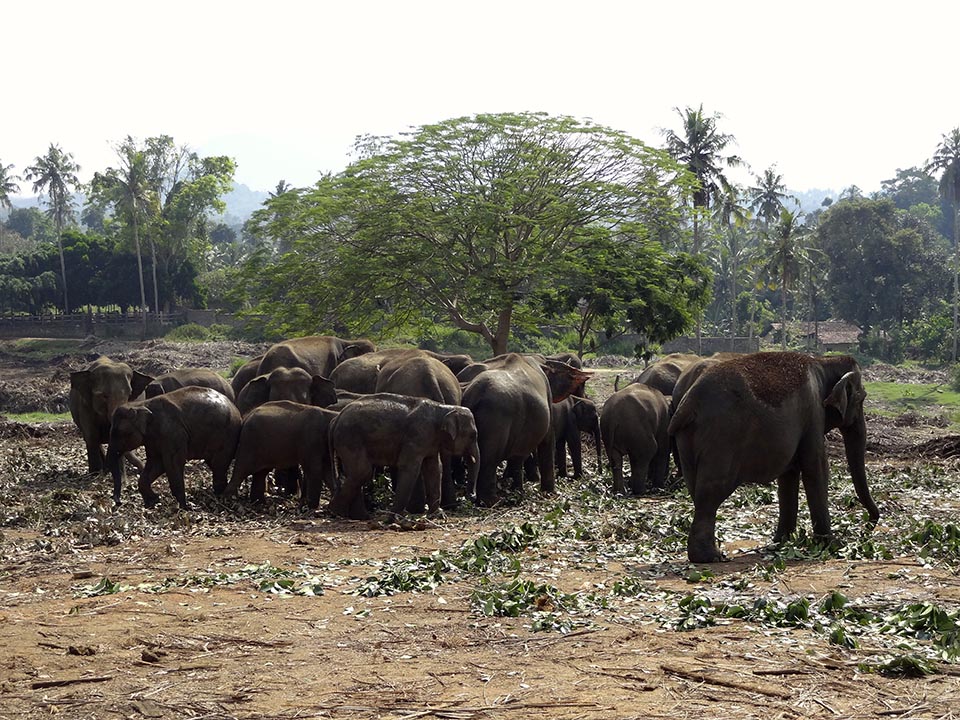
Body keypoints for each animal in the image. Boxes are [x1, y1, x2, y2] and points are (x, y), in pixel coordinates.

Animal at [106, 386, 242, 508]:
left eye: (120, 433)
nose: (118, 503)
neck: (141, 404)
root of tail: (236, 409)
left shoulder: (172, 433)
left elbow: (172, 463)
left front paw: (184, 507)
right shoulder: (152, 440)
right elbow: (156, 463)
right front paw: (153, 502)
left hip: (227, 437)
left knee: (219, 465)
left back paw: (218, 496)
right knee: (215, 465)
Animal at [328, 394, 480, 520]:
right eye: (473, 435)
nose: (471, 496)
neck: (443, 408)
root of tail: (336, 418)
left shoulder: (430, 441)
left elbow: (434, 470)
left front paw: (438, 515)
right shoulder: (417, 435)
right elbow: (410, 468)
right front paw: (392, 518)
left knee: (356, 473)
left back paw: (357, 516)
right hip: (350, 438)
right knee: (362, 472)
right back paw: (336, 511)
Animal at [461, 353, 592, 506]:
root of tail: (475, 394)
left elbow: (519, 454)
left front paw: (517, 490)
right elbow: (547, 440)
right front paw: (549, 492)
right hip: (496, 421)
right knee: (489, 458)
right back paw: (492, 501)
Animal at [669, 352, 880, 563]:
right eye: (861, 399)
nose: (868, 526)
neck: (824, 362)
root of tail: (686, 405)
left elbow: (789, 476)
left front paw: (781, 542)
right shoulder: (813, 414)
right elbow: (816, 467)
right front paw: (832, 544)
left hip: (687, 441)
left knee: (696, 491)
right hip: (721, 438)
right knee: (710, 493)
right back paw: (711, 557)